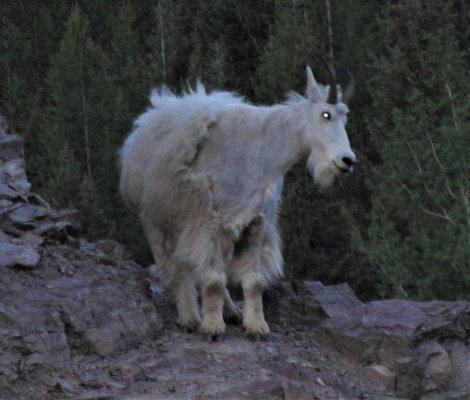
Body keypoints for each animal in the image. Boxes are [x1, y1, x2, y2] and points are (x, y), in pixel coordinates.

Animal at [120, 61, 356, 340]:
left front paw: (256, 326)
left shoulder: (255, 222)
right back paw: (190, 318)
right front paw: (212, 327)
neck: (262, 154)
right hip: (156, 222)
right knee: (178, 267)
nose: (347, 161)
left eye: (345, 117)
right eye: (326, 114)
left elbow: (252, 281)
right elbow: (213, 279)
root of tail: (146, 122)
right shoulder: (210, 220)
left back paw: (231, 311)